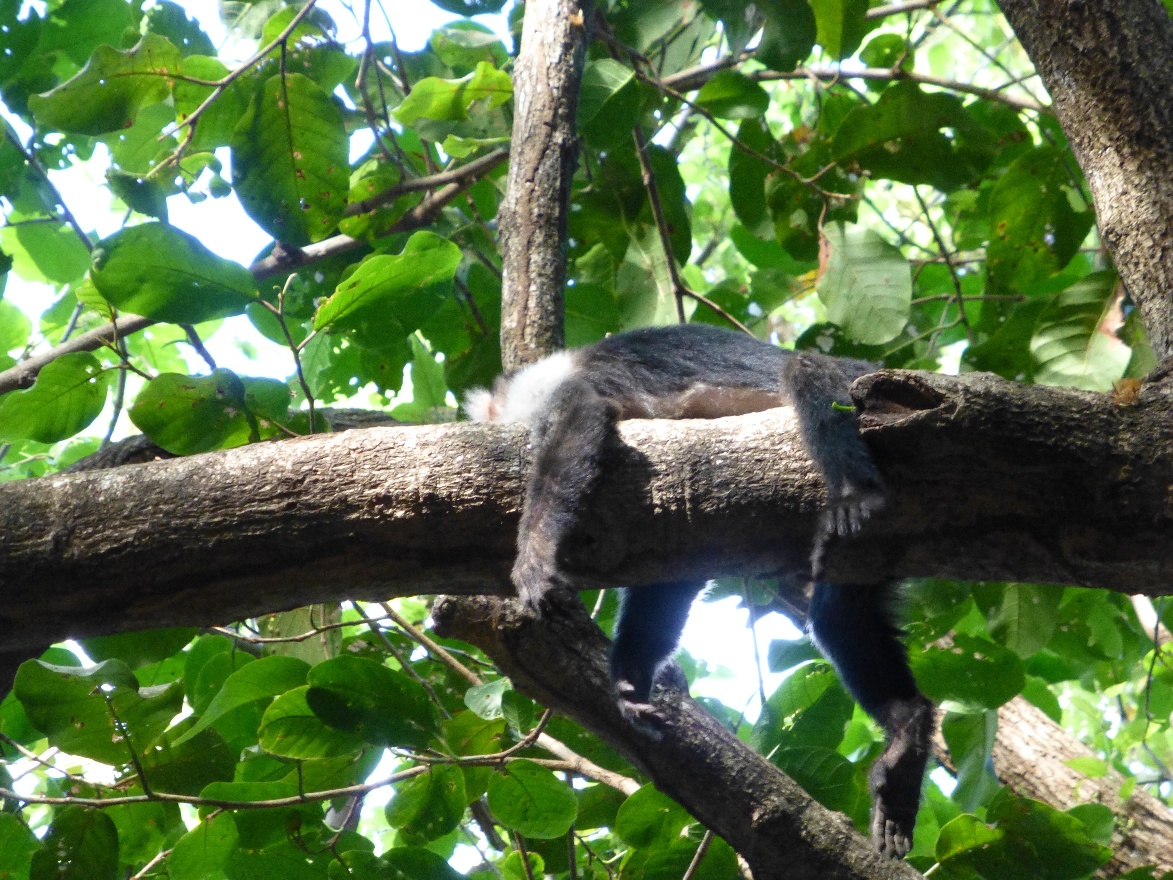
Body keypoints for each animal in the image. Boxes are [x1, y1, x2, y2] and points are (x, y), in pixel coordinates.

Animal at [465, 323, 934, 858]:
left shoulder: (545, 388)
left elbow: (581, 416)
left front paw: (536, 554)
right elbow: (672, 582)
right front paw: (630, 679)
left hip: (874, 393)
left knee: (807, 369)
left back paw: (857, 495)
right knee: (839, 616)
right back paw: (907, 733)